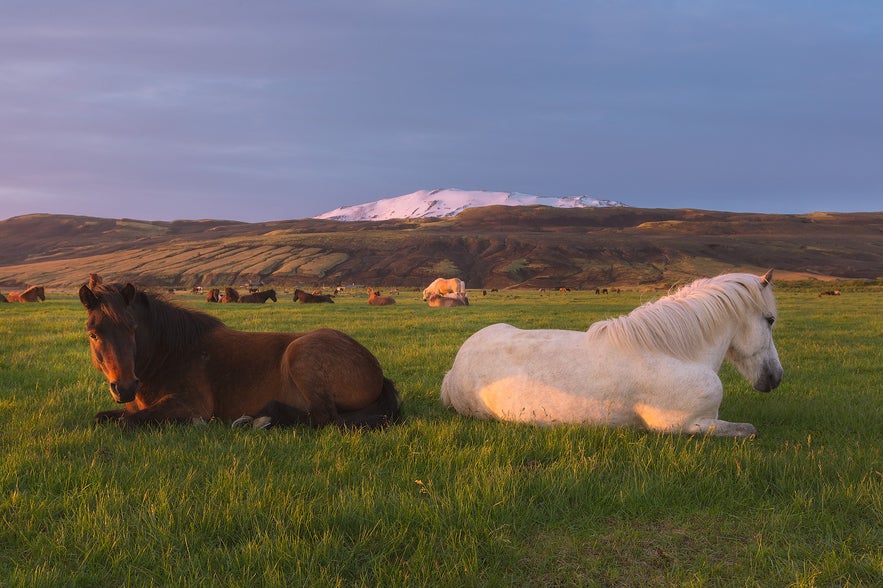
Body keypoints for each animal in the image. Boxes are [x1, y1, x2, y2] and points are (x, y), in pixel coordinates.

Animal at [79, 282, 404, 430]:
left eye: (132, 329)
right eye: (93, 334)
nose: (124, 387)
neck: (170, 354)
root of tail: (376, 370)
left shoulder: (190, 405)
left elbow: (127, 422)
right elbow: (106, 417)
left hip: (300, 355)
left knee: (324, 418)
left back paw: (263, 418)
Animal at [446, 272, 784, 436]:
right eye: (770, 319)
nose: (775, 377)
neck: (674, 353)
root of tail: (454, 367)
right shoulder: (689, 425)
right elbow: (749, 431)